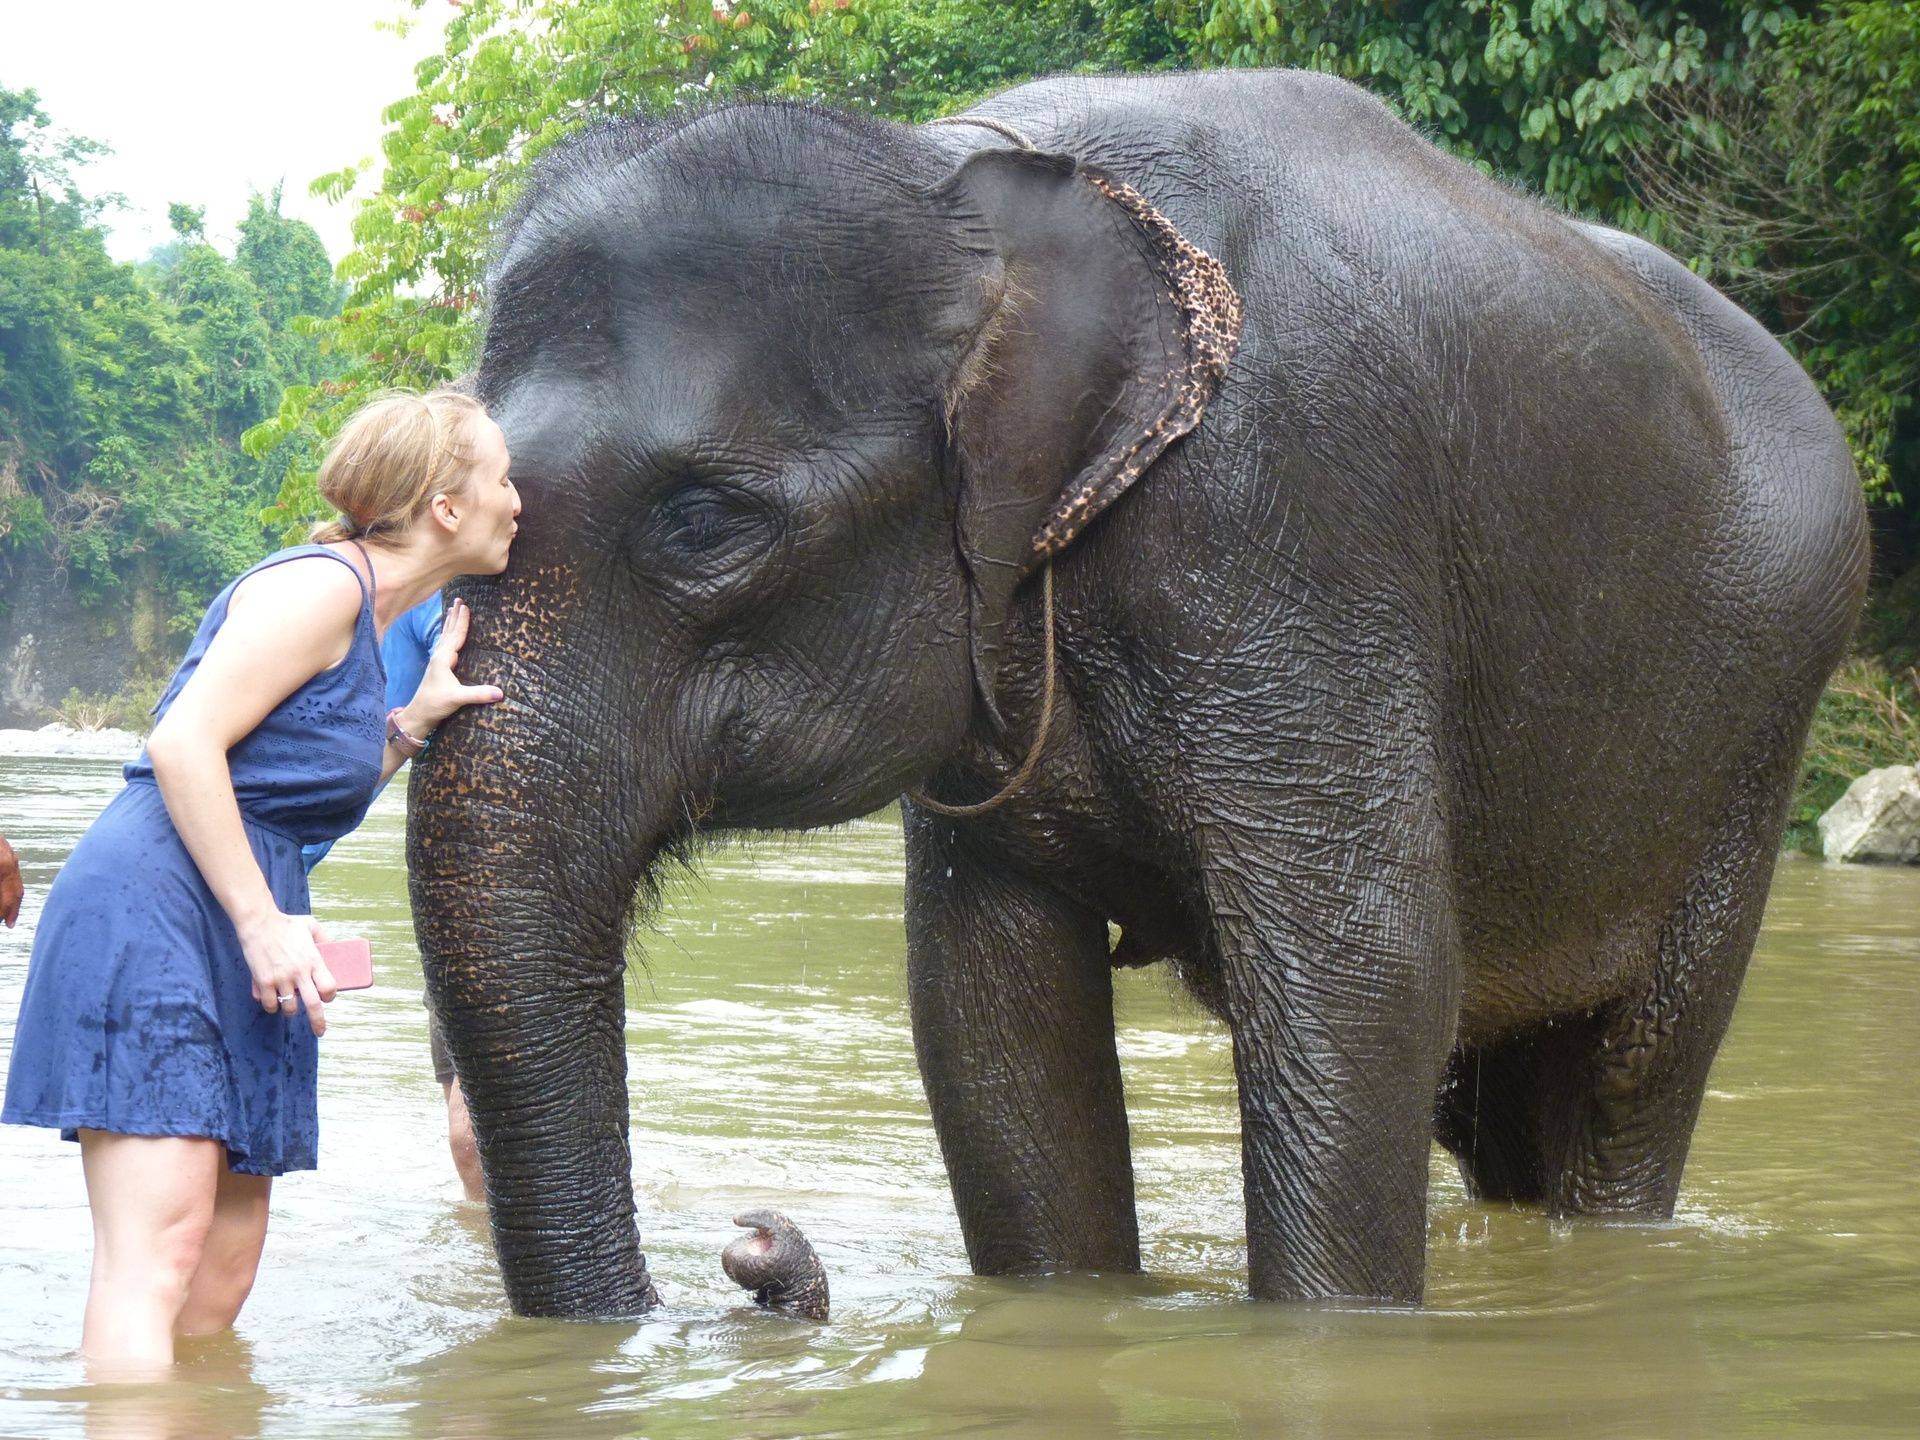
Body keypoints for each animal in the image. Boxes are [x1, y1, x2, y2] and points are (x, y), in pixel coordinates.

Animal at [407, 67, 1868, 1317]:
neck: (963, 180)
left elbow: (1367, 978)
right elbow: (992, 1014)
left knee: (1626, 1081)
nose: (757, 1243)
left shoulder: (1297, 523)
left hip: (1759, 719)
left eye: (705, 523)